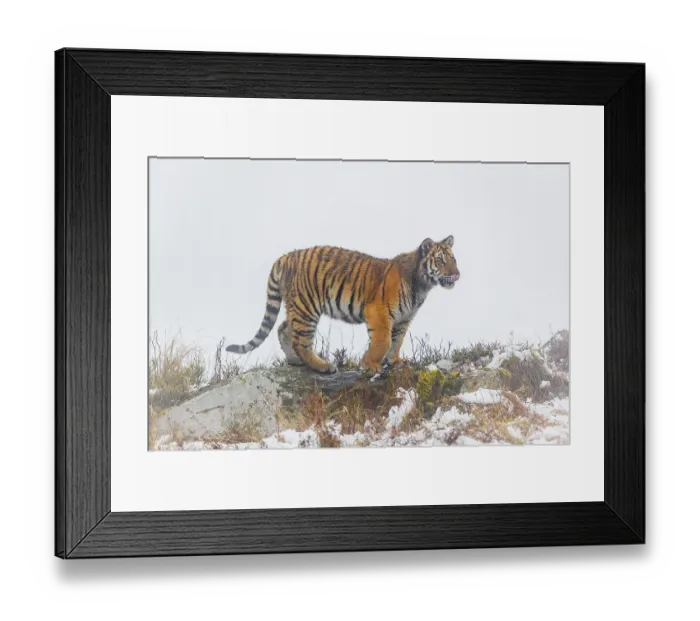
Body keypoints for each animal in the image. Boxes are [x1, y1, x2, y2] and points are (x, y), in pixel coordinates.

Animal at [226, 236, 460, 374]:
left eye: (454, 259)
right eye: (440, 260)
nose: (457, 274)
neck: (422, 286)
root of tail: (285, 257)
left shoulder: (404, 319)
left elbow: (397, 342)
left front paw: (395, 362)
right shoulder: (379, 311)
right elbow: (383, 341)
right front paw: (370, 365)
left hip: (296, 306)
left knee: (284, 329)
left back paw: (295, 361)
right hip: (307, 307)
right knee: (300, 341)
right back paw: (323, 366)